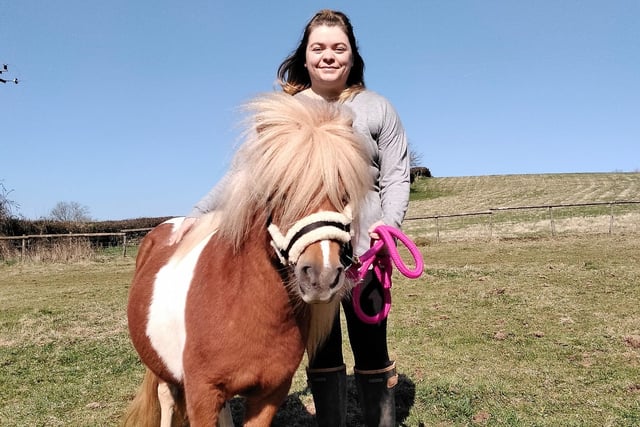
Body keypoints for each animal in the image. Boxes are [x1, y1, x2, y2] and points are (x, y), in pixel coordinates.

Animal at [123, 93, 372, 426]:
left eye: (344, 192)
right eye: (279, 192)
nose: (321, 276)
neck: (242, 305)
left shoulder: (270, 394)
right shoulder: (201, 395)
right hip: (160, 367)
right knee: (166, 397)